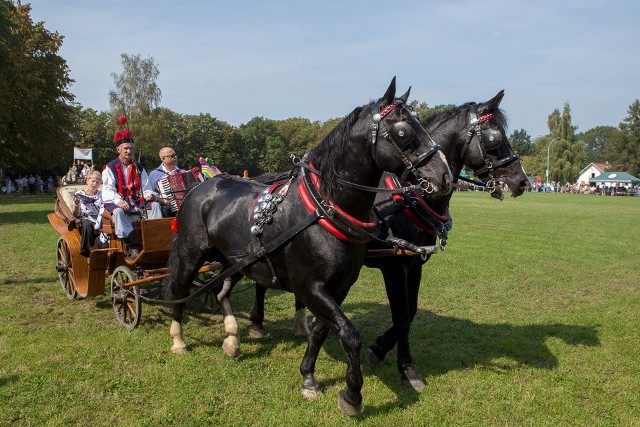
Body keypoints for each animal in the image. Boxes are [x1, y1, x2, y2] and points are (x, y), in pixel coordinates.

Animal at [166, 78, 456, 416]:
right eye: (402, 132)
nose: (445, 176)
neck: (324, 209)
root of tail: (201, 186)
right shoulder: (311, 286)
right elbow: (350, 334)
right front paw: (352, 394)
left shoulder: (339, 286)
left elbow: (321, 330)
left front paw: (308, 377)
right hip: (192, 254)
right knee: (180, 291)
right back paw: (179, 341)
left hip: (234, 260)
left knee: (221, 290)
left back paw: (232, 338)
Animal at [250, 90, 528, 394]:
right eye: (494, 138)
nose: (522, 181)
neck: (408, 199)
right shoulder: (394, 267)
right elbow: (402, 315)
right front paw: (404, 366)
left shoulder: (415, 264)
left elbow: (411, 311)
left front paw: (381, 348)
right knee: (260, 280)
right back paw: (256, 322)